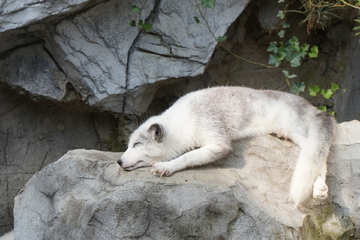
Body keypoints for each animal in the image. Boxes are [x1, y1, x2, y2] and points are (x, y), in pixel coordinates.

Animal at [119, 86, 336, 206]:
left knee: (320, 155)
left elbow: (187, 156)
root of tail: (314, 108)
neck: (184, 121)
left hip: (297, 132)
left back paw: (320, 188)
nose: (119, 161)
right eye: (128, 145)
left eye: (137, 144)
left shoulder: (219, 142)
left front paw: (166, 166)